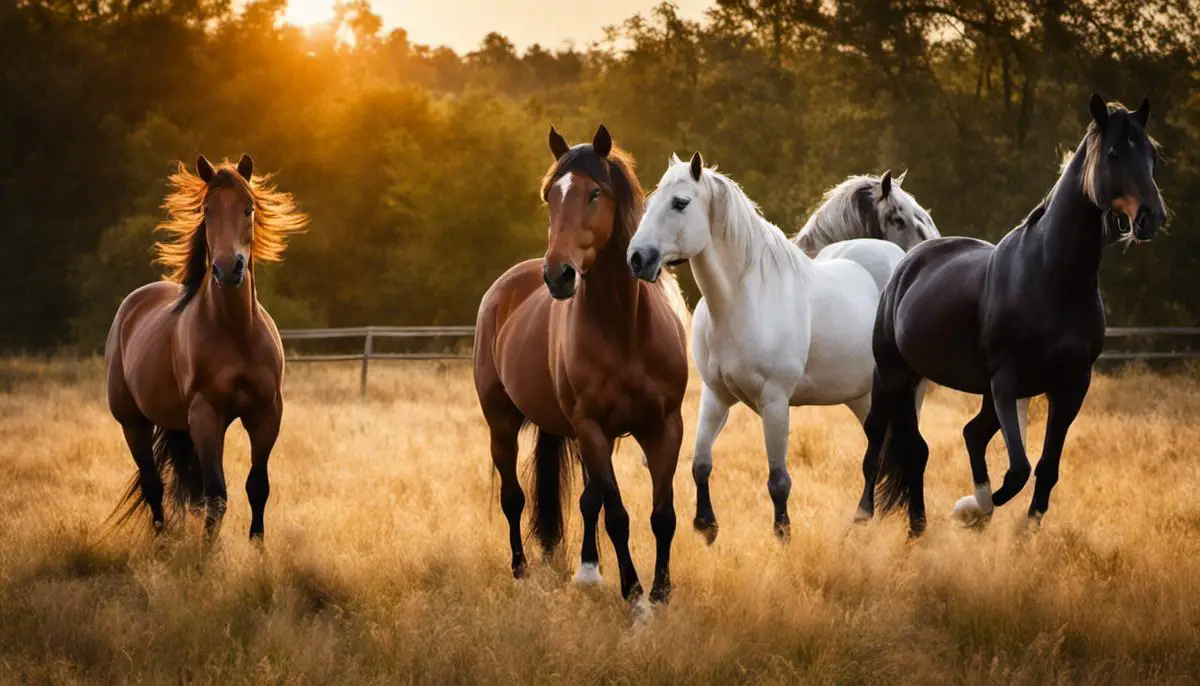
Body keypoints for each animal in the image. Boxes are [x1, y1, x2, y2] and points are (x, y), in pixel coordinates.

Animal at [105, 155, 307, 542]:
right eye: (207, 210)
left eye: (248, 208)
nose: (228, 269)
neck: (235, 332)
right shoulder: (205, 414)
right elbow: (216, 494)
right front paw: (206, 555)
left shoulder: (266, 413)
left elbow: (256, 487)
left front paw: (257, 549)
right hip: (134, 424)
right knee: (154, 487)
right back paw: (162, 545)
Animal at [472, 125, 691, 602]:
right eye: (550, 196)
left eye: (594, 193)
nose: (559, 275)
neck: (626, 328)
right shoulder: (592, 427)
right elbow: (618, 516)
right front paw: (635, 596)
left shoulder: (664, 426)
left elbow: (661, 515)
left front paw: (661, 592)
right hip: (503, 421)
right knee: (514, 498)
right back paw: (521, 570)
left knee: (588, 500)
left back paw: (588, 570)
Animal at [633, 153, 902, 542]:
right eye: (650, 202)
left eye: (680, 203)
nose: (637, 258)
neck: (743, 299)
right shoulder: (715, 395)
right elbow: (701, 463)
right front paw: (706, 525)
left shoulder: (774, 401)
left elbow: (778, 480)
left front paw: (783, 534)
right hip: (861, 395)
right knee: (878, 452)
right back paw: (865, 515)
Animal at [859, 95, 1166, 534]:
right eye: (1113, 153)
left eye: (1151, 153)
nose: (1151, 217)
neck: (1051, 277)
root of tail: (909, 261)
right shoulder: (1007, 380)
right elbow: (1018, 469)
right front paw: (973, 509)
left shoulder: (1071, 386)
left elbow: (1046, 468)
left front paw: (1012, 525)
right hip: (892, 371)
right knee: (876, 436)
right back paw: (863, 517)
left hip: (932, 381)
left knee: (946, 441)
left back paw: (919, 527)